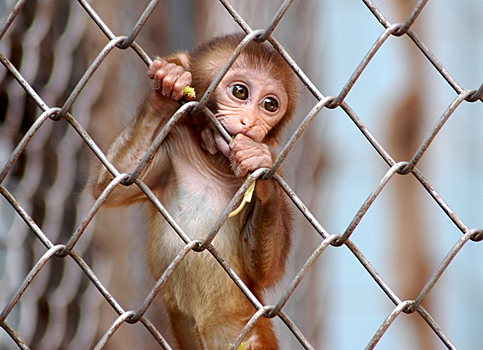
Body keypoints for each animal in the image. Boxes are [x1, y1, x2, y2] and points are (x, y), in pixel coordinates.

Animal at [90, 33, 294, 350]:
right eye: (240, 92)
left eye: (270, 105)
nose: (249, 122)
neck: (216, 162)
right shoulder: (171, 147)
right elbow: (117, 182)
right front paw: (167, 85)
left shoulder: (279, 169)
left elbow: (261, 270)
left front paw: (259, 163)